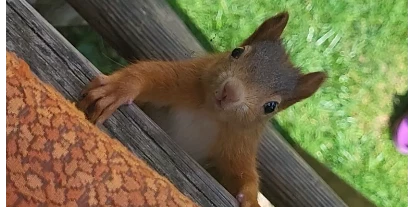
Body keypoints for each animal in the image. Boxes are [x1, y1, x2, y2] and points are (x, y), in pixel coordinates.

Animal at [78, 11, 326, 207]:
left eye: (271, 106)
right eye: (237, 51)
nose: (230, 92)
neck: (209, 115)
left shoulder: (239, 144)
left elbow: (244, 174)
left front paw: (250, 199)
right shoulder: (188, 79)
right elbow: (152, 74)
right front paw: (119, 88)